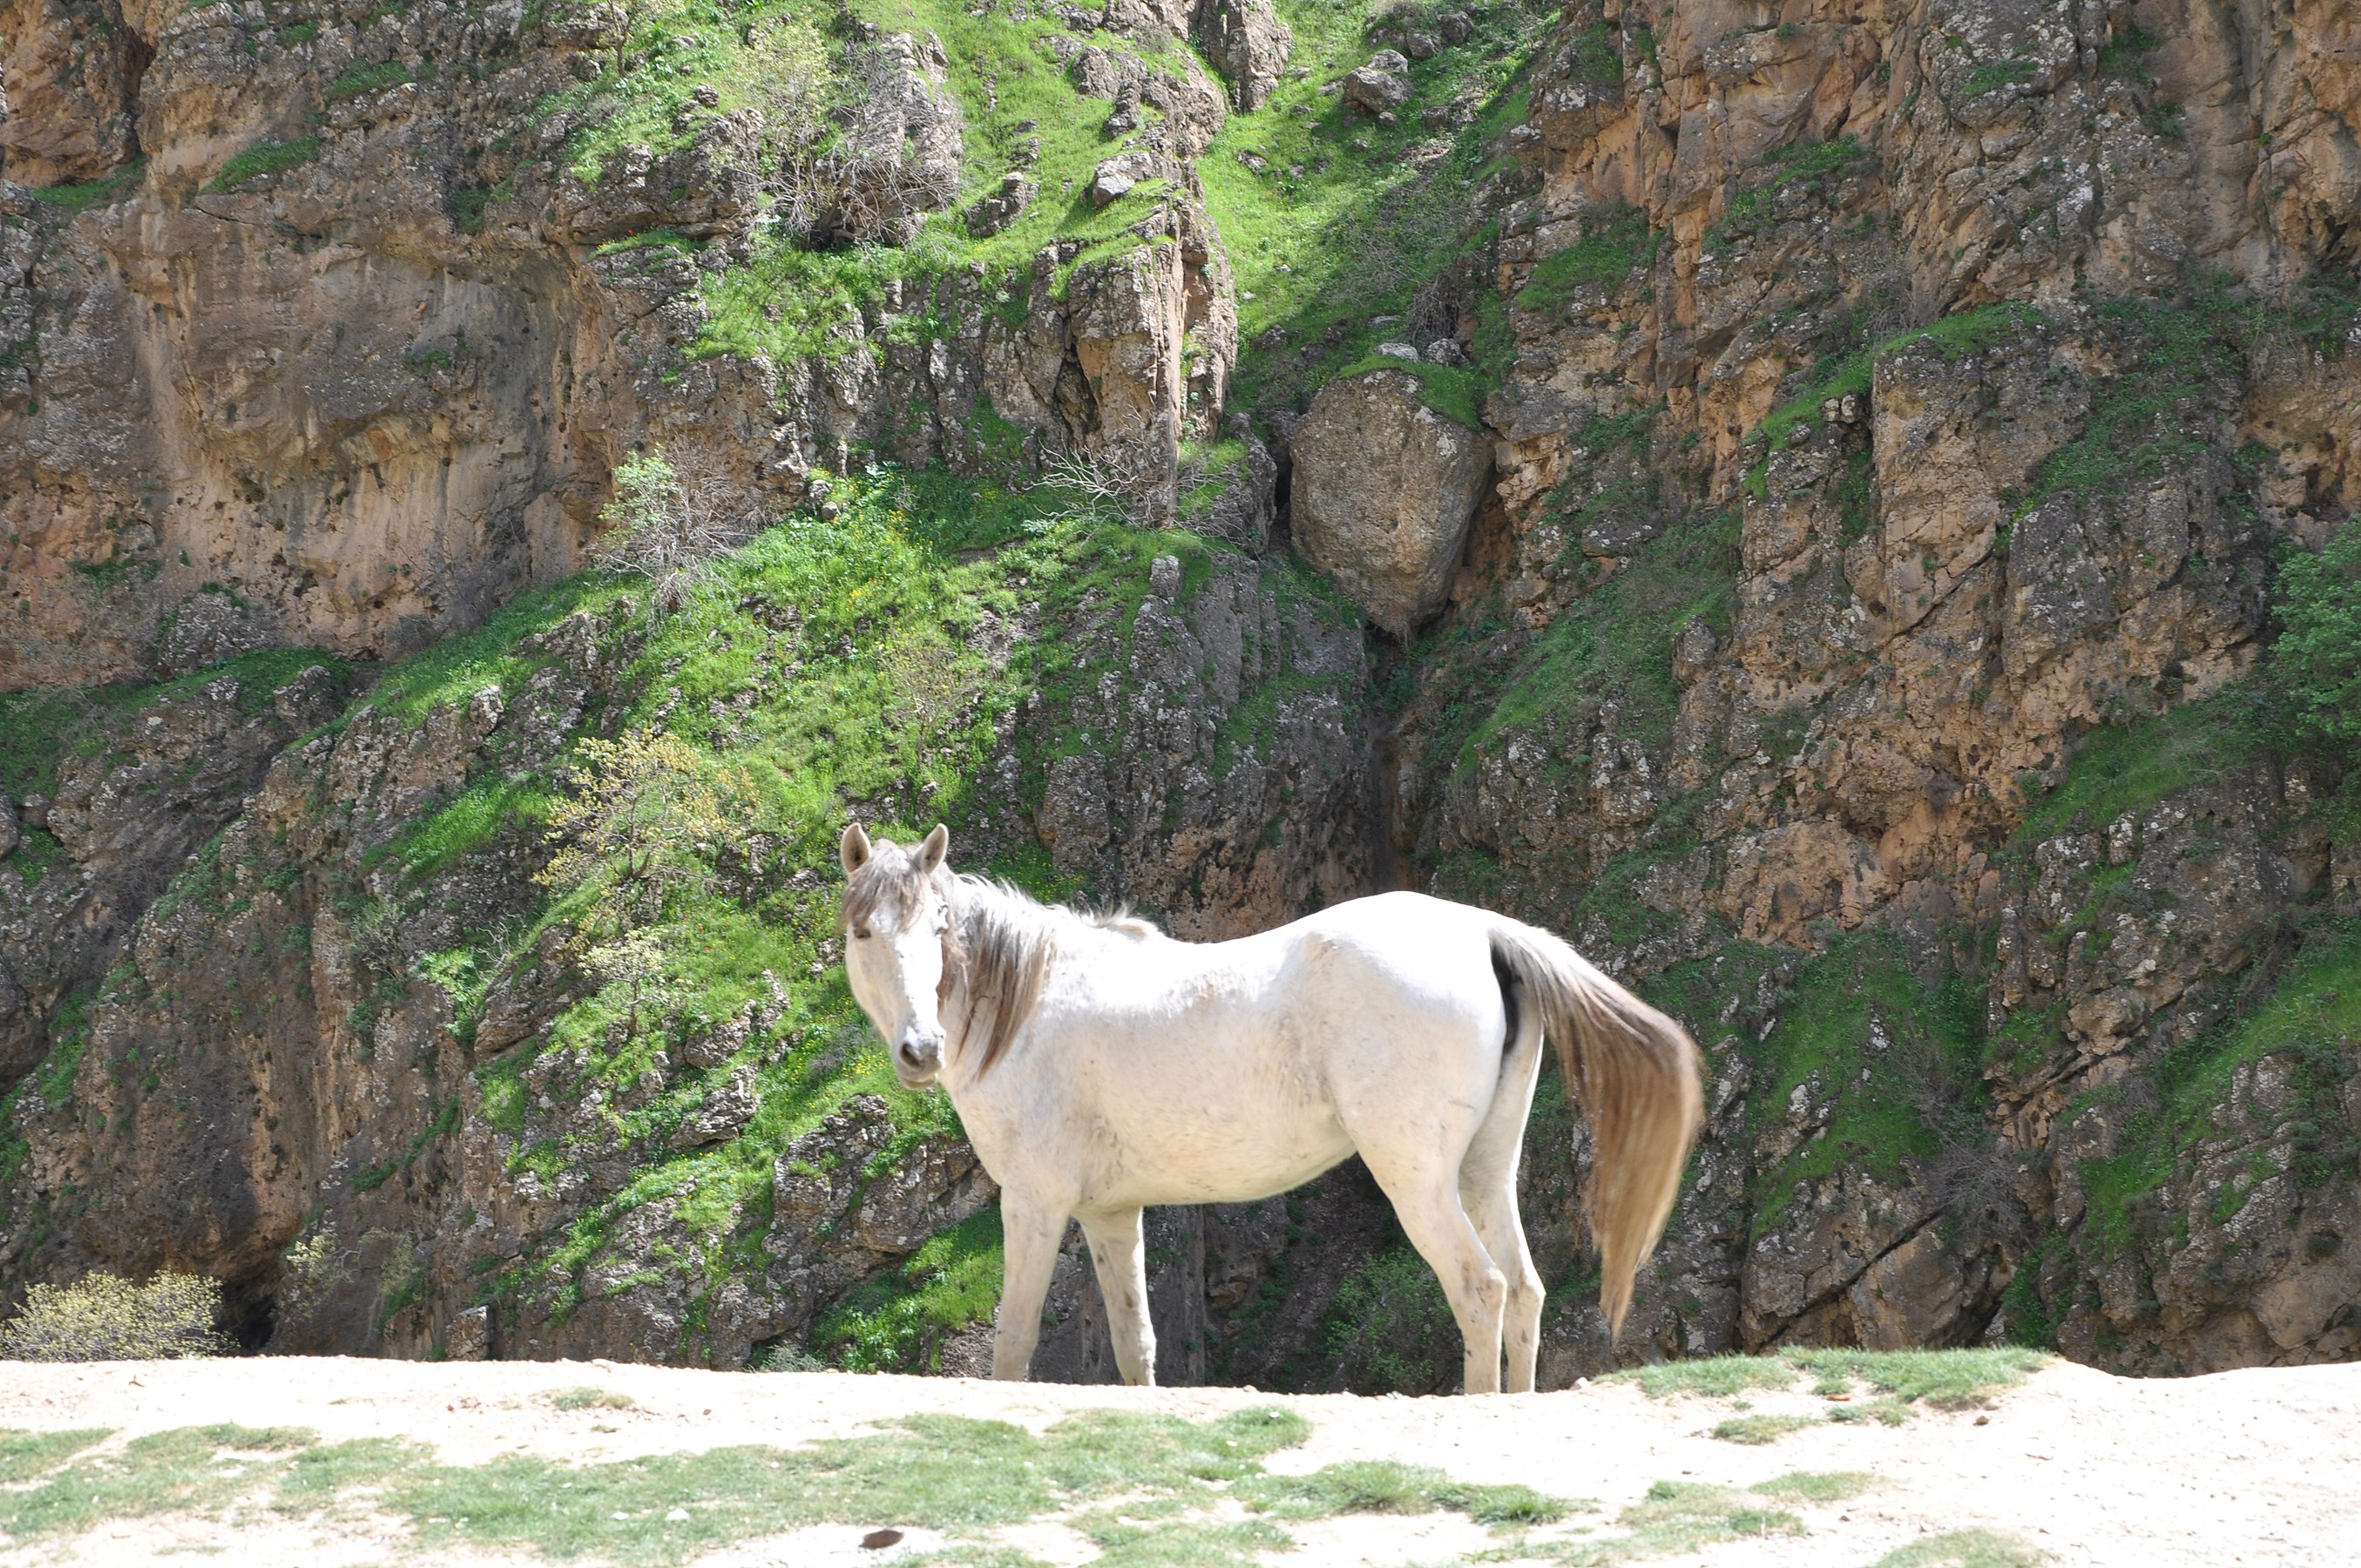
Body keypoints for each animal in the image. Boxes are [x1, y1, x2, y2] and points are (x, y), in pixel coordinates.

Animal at [830, 826, 1700, 1388]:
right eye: (866, 932)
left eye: (938, 928)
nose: (922, 1050)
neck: (1028, 1002)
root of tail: (1484, 932)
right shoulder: (1111, 1214)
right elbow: (1135, 1344)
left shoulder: (1035, 1203)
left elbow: (1012, 1344)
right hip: (1486, 1170)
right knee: (1522, 1291)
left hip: (1417, 1180)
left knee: (1480, 1290)